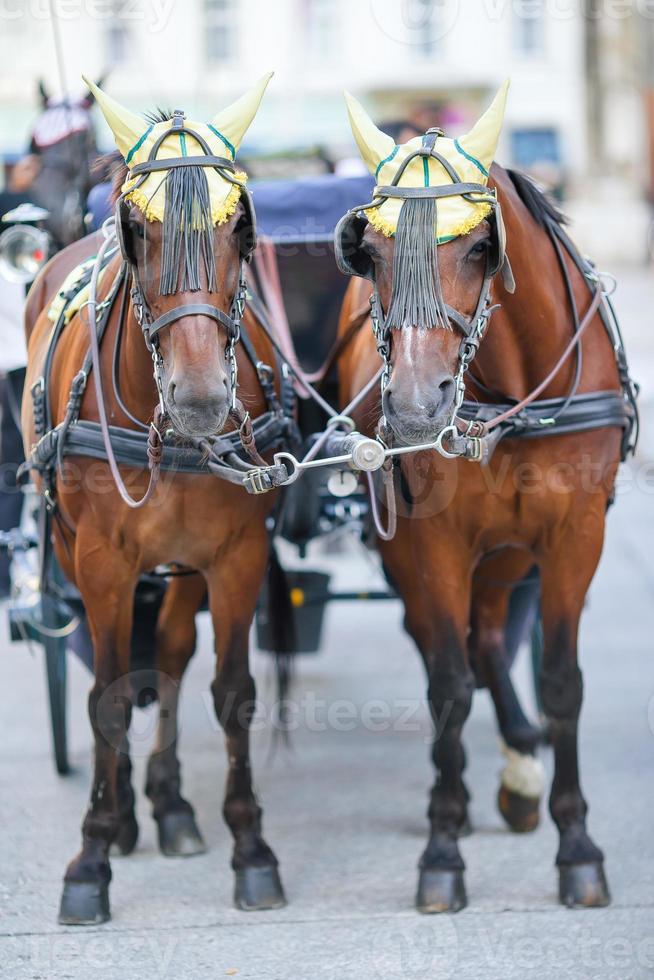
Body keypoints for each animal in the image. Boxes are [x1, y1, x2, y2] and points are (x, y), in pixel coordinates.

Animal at [22, 76, 294, 928]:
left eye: (241, 225)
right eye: (135, 228)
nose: (203, 399)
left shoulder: (237, 556)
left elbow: (232, 695)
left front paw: (253, 850)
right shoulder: (102, 562)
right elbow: (107, 698)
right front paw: (92, 857)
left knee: (169, 654)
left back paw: (169, 805)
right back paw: (129, 814)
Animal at [336, 84, 640, 912]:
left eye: (478, 247)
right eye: (370, 253)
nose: (414, 407)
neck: (503, 397)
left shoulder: (573, 538)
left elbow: (561, 683)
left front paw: (578, 848)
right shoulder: (432, 543)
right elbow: (447, 685)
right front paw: (442, 848)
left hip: (508, 555)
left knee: (496, 637)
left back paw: (519, 768)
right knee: (453, 646)